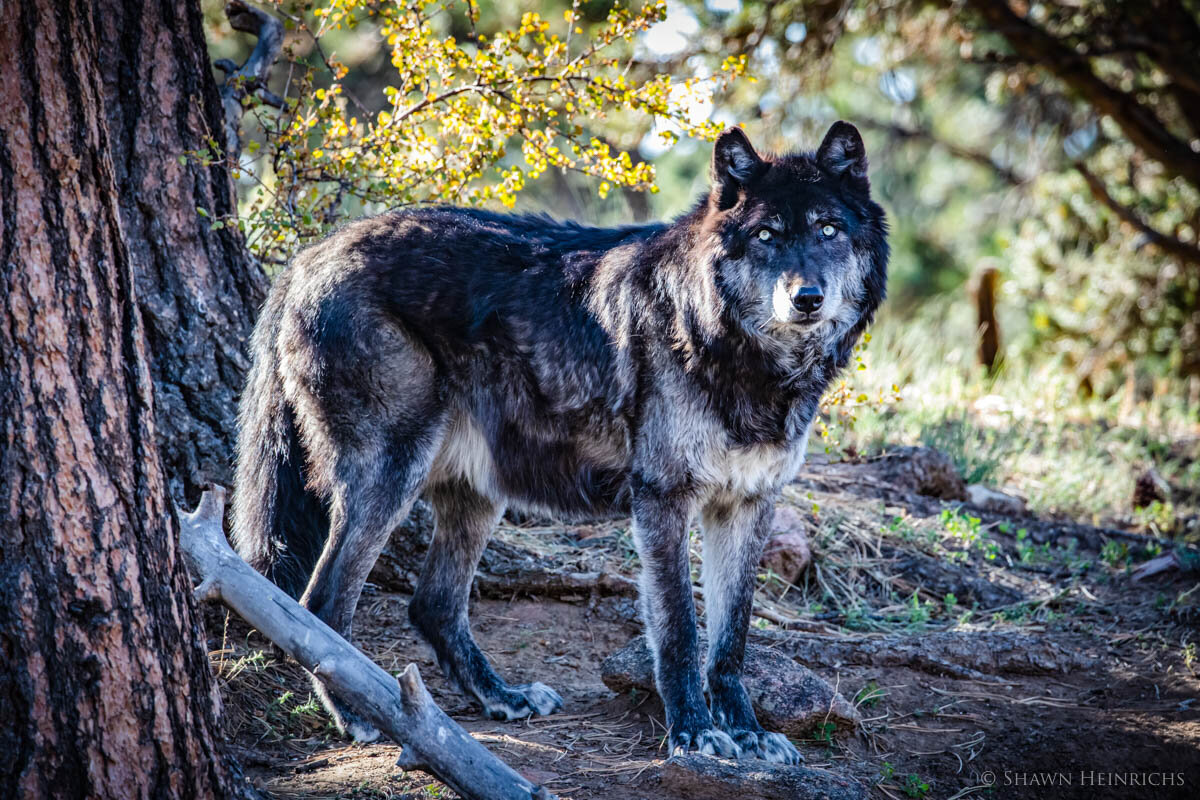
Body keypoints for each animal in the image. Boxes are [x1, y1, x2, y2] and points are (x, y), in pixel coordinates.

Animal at [232, 122, 888, 763]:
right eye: (768, 236)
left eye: (829, 230)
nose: (807, 299)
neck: (736, 351)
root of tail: (307, 256)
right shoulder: (662, 499)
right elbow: (680, 630)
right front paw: (693, 735)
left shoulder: (749, 505)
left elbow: (731, 639)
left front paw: (747, 733)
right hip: (391, 478)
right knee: (322, 603)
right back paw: (360, 718)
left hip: (478, 493)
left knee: (433, 604)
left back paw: (502, 698)